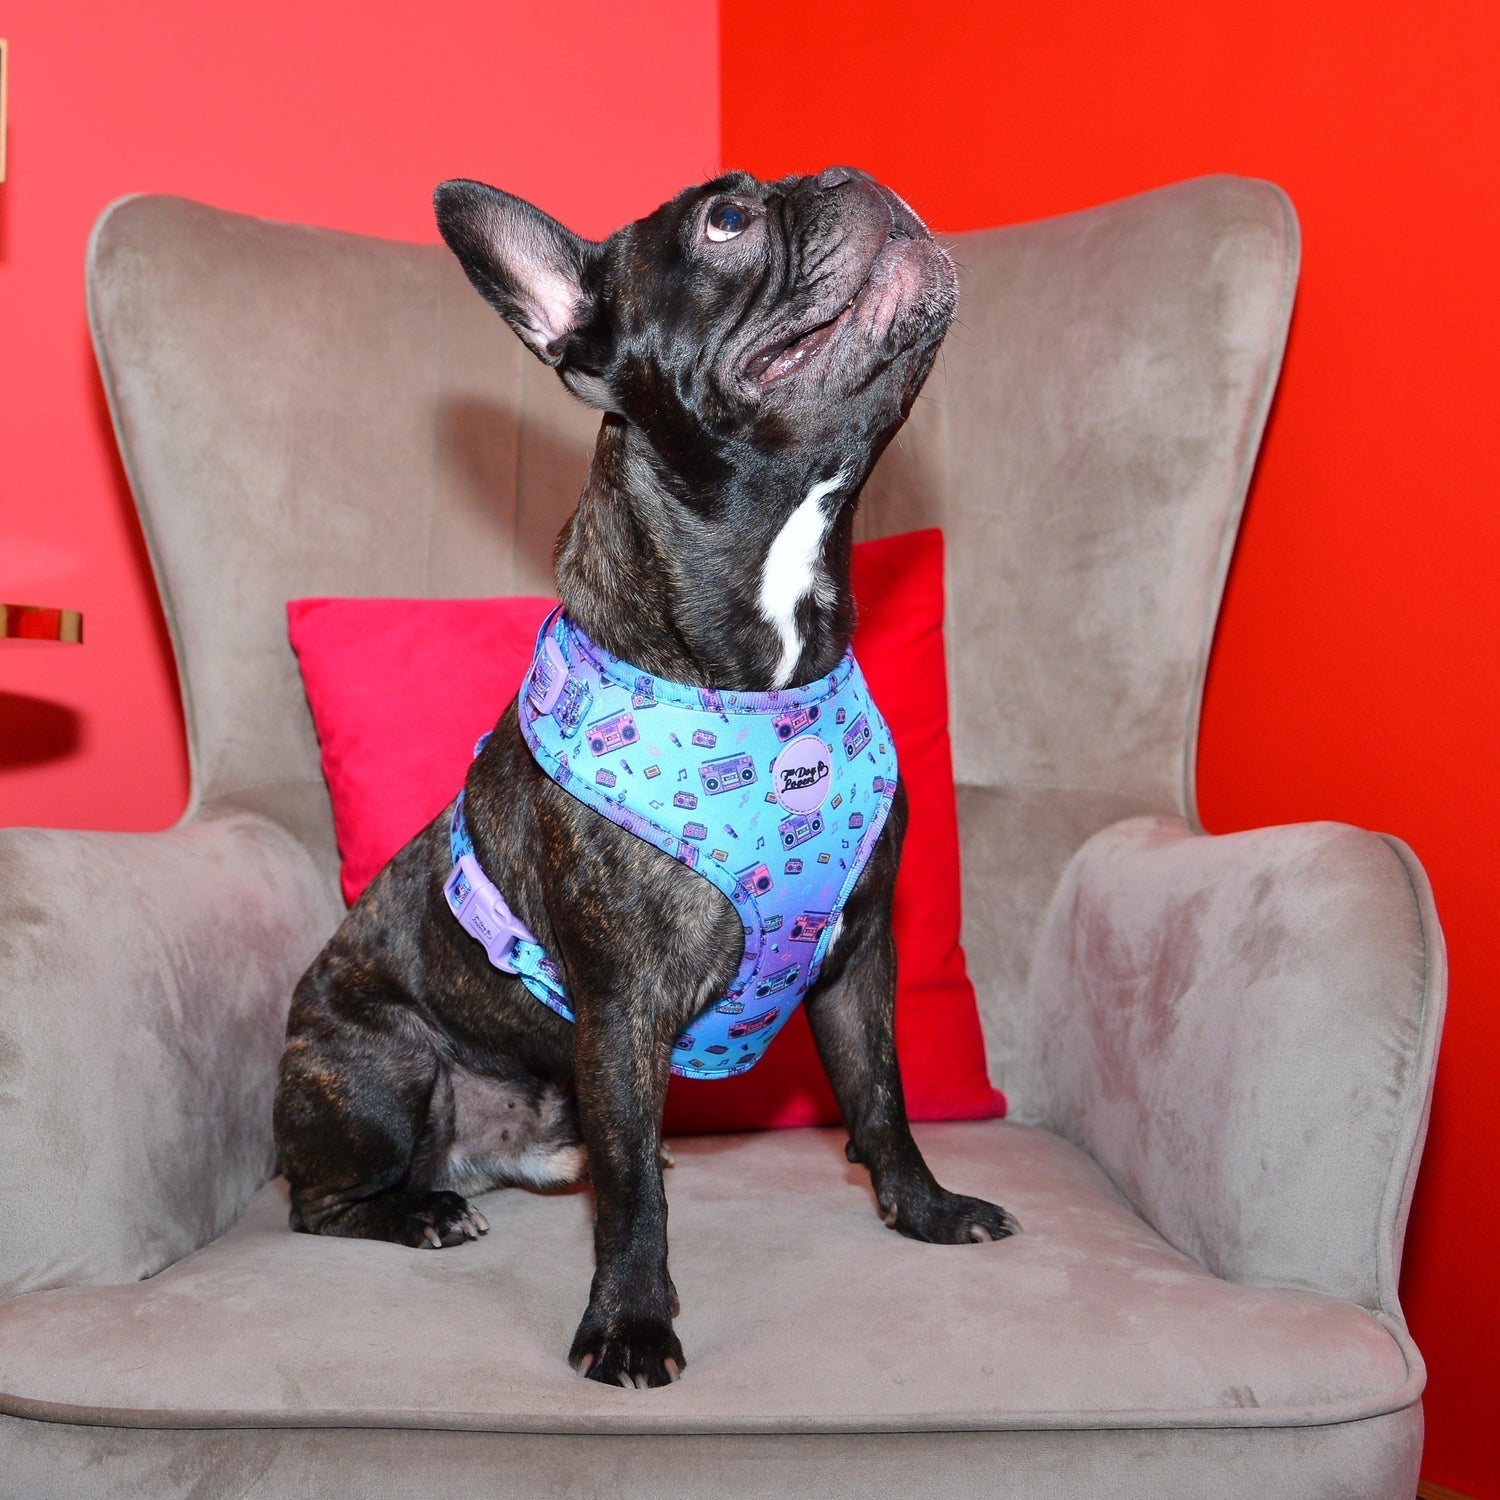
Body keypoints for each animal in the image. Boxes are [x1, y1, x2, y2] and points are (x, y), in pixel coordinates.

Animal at [273, 165, 1018, 1391]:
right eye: (724, 220)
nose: (854, 177)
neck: (770, 668)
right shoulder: (622, 1010)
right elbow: (632, 1195)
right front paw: (629, 1323)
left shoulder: (859, 964)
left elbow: (882, 1098)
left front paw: (924, 1209)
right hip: (383, 1073)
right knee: (319, 1203)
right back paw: (421, 1211)